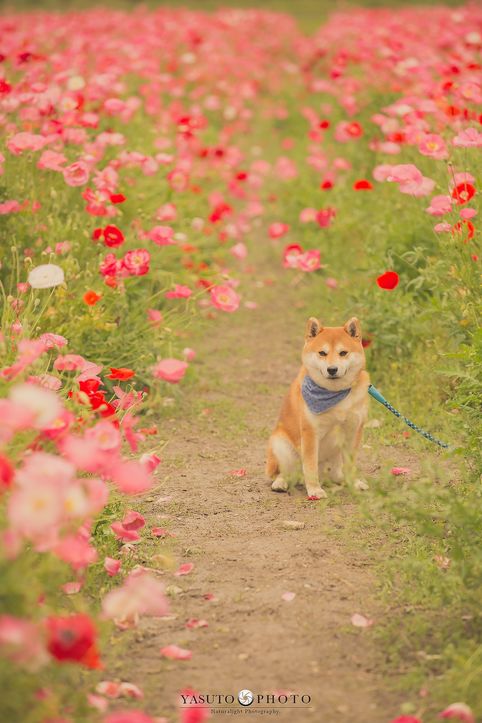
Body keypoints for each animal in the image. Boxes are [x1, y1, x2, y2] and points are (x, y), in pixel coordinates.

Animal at [268, 316, 370, 498]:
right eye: (322, 353)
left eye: (343, 353)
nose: (332, 369)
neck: (335, 394)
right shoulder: (310, 432)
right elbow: (310, 466)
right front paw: (315, 490)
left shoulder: (354, 430)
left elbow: (350, 464)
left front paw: (354, 483)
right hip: (281, 444)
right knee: (287, 472)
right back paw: (281, 482)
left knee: (336, 472)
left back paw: (340, 479)